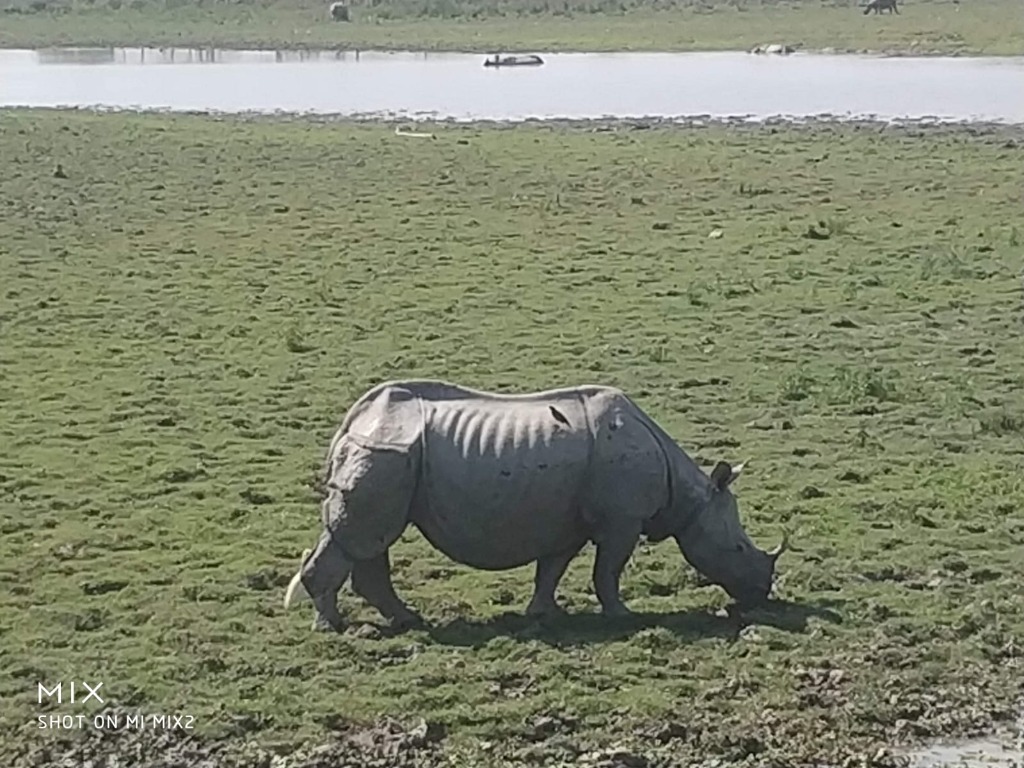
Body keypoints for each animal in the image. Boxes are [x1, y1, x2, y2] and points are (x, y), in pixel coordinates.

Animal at [283, 379, 789, 631]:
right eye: (738, 549)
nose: (762, 593)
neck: (688, 496)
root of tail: (353, 417)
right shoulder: (623, 519)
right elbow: (608, 569)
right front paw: (622, 616)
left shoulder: (568, 520)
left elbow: (553, 566)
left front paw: (544, 614)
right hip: (385, 451)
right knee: (363, 536)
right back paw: (332, 627)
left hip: (391, 457)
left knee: (372, 539)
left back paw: (404, 619)